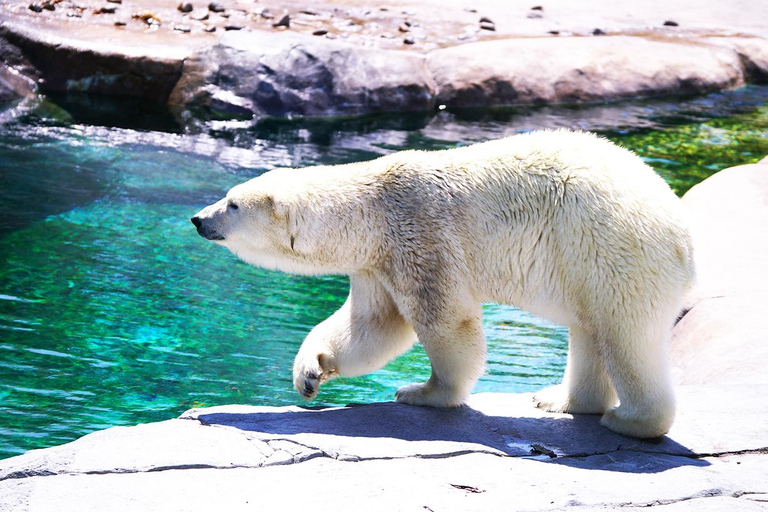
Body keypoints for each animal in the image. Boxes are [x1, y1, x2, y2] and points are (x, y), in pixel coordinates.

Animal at [192, 130, 696, 438]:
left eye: (232, 204)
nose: (198, 219)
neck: (371, 208)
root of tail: (683, 234)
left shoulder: (420, 232)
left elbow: (446, 321)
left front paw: (422, 393)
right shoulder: (376, 261)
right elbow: (371, 325)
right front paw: (310, 372)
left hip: (611, 246)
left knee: (624, 333)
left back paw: (629, 420)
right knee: (590, 328)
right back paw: (560, 400)